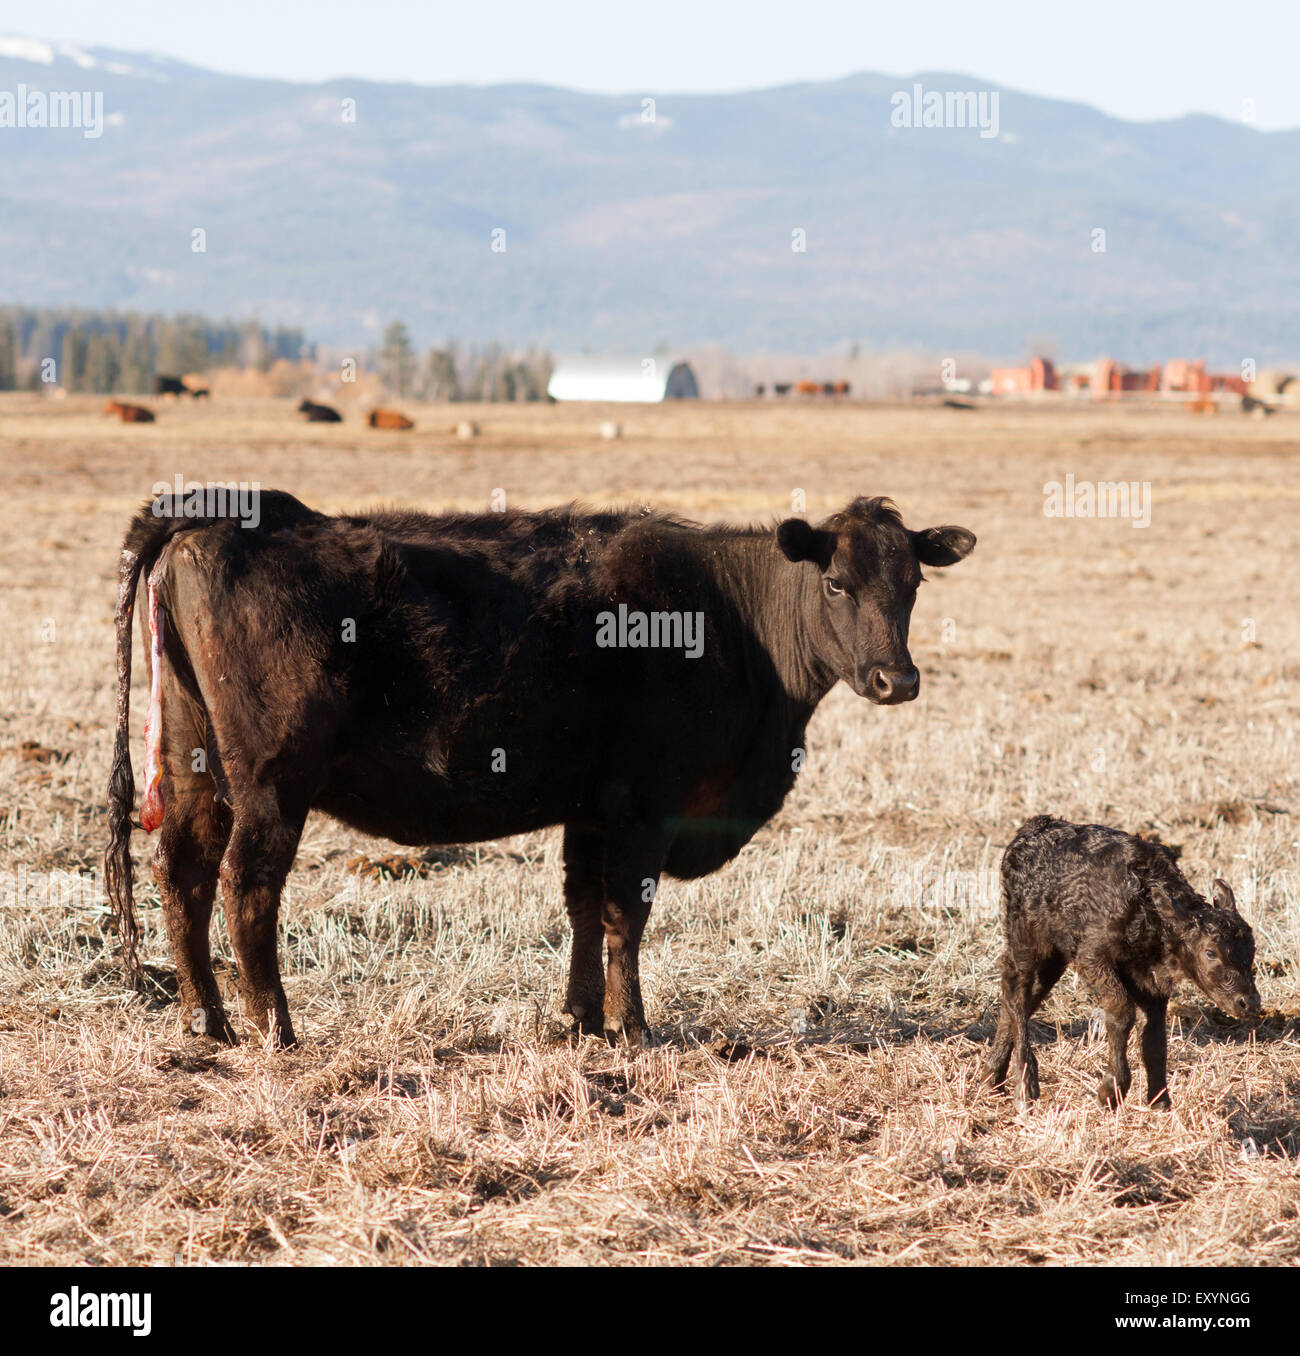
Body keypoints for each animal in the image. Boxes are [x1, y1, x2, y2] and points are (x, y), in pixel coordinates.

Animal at [104, 493, 976, 1041]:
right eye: (835, 581)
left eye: (913, 583)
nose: (898, 680)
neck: (729, 618)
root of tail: (222, 516)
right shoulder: (646, 805)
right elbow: (626, 914)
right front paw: (634, 1026)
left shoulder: (590, 808)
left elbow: (584, 909)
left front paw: (581, 1019)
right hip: (270, 785)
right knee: (245, 890)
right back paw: (274, 1028)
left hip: (195, 768)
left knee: (181, 875)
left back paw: (207, 1021)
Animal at [992, 819, 1257, 1106]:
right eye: (1210, 952)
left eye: (1252, 948)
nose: (1249, 1003)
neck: (1147, 910)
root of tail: (1033, 828)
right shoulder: (1092, 956)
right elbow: (1121, 1012)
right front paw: (1111, 1090)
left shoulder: (1152, 984)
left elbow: (1154, 1039)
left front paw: (1160, 1101)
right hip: (1025, 941)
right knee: (1016, 992)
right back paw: (1025, 1087)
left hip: (1054, 957)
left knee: (1021, 1000)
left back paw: (991, 1079)